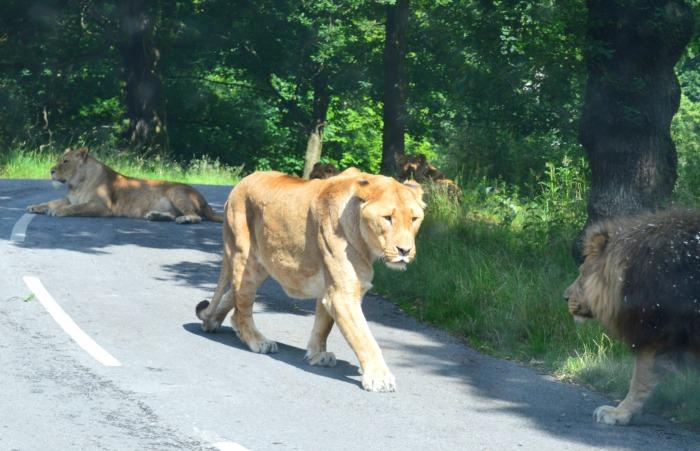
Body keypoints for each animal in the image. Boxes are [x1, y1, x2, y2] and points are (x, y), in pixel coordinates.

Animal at [26, 148, 221, 224]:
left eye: (65, 162)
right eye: (60, 160)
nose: (51, 170)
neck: (77, 184)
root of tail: (204, 200)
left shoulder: (103, 207)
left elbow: (76, 208)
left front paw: (58, 211)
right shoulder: (69, 199)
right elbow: (50, 201)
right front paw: (35, 207)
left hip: (176, 192)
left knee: (196, 216)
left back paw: (185, 219)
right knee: (173, 214)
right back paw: (155, 216)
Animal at [197, 169, 426, 392]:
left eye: (414, 219)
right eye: (387, 218)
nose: (405, 250)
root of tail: (238, 187)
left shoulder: (331, 288)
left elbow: (323, 325)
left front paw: (317, 354)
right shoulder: (343, 296)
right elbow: (365, 339)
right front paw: (380, 378)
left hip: (262, 265)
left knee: (232, 297)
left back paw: (211, 320)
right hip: (245, 259)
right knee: (241, 310)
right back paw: (258, 341)